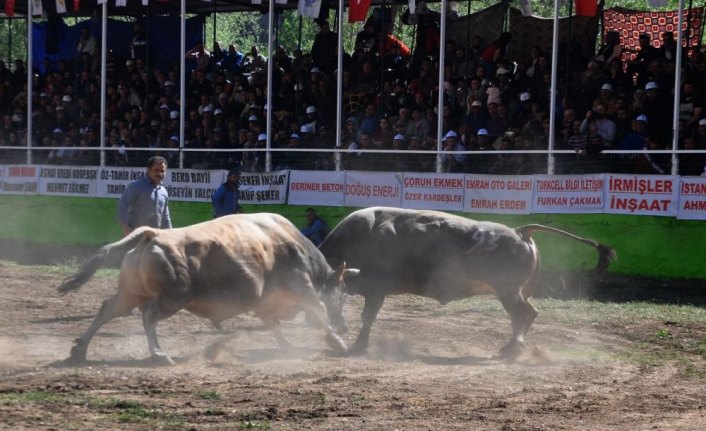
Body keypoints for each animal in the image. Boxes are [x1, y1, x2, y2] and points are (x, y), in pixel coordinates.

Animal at [56, 213, 358, 364]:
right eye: (342, 294)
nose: (345, 327)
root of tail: (152, 234)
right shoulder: (301, 286)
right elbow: (319, 310)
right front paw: (338, 342)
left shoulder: (264, 303)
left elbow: (274, 325)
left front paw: (287, 347)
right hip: (172, 297)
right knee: (148, 315)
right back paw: (158, 354)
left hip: (132, 292)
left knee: (108, 308)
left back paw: (80, 349)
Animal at [316, 208, 612, 360]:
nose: (338, 327)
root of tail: (520, 232)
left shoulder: (377, 290)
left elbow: (368, 317)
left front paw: (358, 346)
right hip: (518, 291)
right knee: (529, 313)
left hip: (508, 292)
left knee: (523, 314)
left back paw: (510, 350)